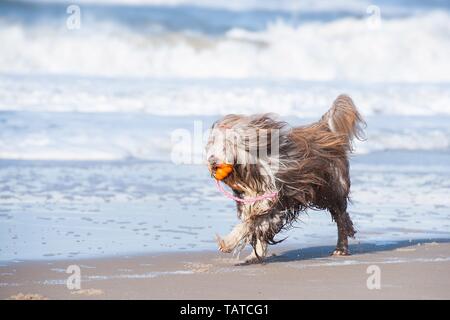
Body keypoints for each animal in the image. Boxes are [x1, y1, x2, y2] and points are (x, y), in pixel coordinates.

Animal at [206, 94, 364, 262]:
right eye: (210, 146)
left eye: (226, 145)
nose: (212, 162)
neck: (251, 176)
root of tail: (324, 128)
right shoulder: (252, 203)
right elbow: (258, 229)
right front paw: (254, 255)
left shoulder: (274, 203)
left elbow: (251, 223)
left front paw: (227, 243)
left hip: (331, 188)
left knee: (341, 217)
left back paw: (341, 247)